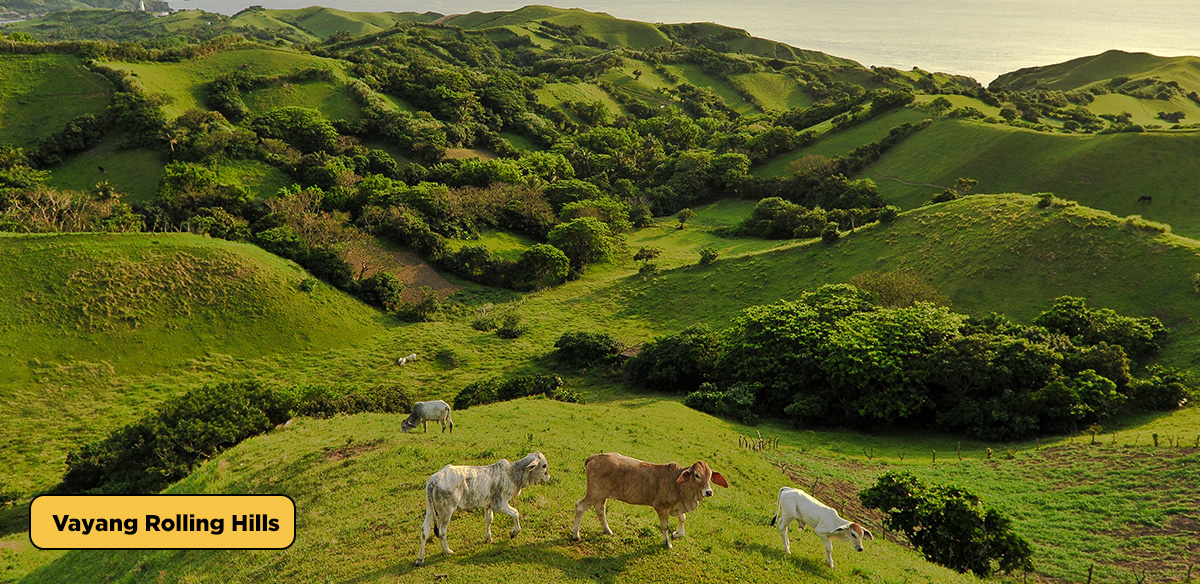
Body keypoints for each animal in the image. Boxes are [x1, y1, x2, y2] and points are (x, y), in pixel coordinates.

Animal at [410, 453, 547, 566]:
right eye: (544, 466)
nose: (549, 477)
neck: (513, 474)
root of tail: (433, 480)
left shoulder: (488, 505)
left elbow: (489, 520)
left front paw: (488, 538)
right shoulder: (499, 504)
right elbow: (515, 513)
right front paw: (514, 532)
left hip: (430, 509)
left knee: (424, 530)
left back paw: (420, 559)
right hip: (446, 510)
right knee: (442, 531)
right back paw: (447, 551)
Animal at [568, 453, 724, 549]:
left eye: (710, 475)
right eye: (697, 475)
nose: (708, 492)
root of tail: (595, 457)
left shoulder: (675, 506)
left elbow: (683, 518)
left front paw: (677, 534)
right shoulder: (661, 507)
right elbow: (665, 526)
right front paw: (667, 543)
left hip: (601, 494)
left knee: (600, 509)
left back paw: (607, 530)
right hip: (594, 492)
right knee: (580, 506)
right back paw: (576, 534)